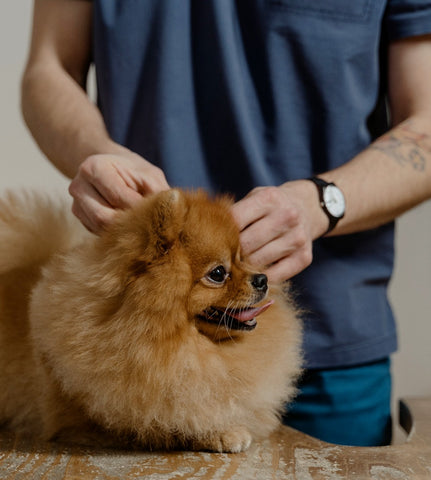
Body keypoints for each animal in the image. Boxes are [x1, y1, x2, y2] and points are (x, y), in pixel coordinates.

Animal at [0, 189, 304, 452]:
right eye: (218, 273)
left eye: (242, 259)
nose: (262, 279)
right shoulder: (88, 418)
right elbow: (159, 422)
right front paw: (219, 432)